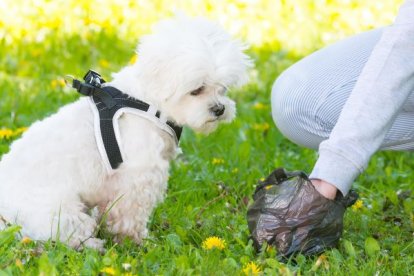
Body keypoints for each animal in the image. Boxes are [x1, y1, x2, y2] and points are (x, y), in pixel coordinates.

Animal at [0, 16, 251, 250]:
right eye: (197, 90)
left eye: (223, 88)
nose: (219, 109)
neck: (147, 101)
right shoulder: (138, 177)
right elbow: (129, 214)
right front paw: (135, 241)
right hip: (59, 212)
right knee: (69, 234)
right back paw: (93, 244)